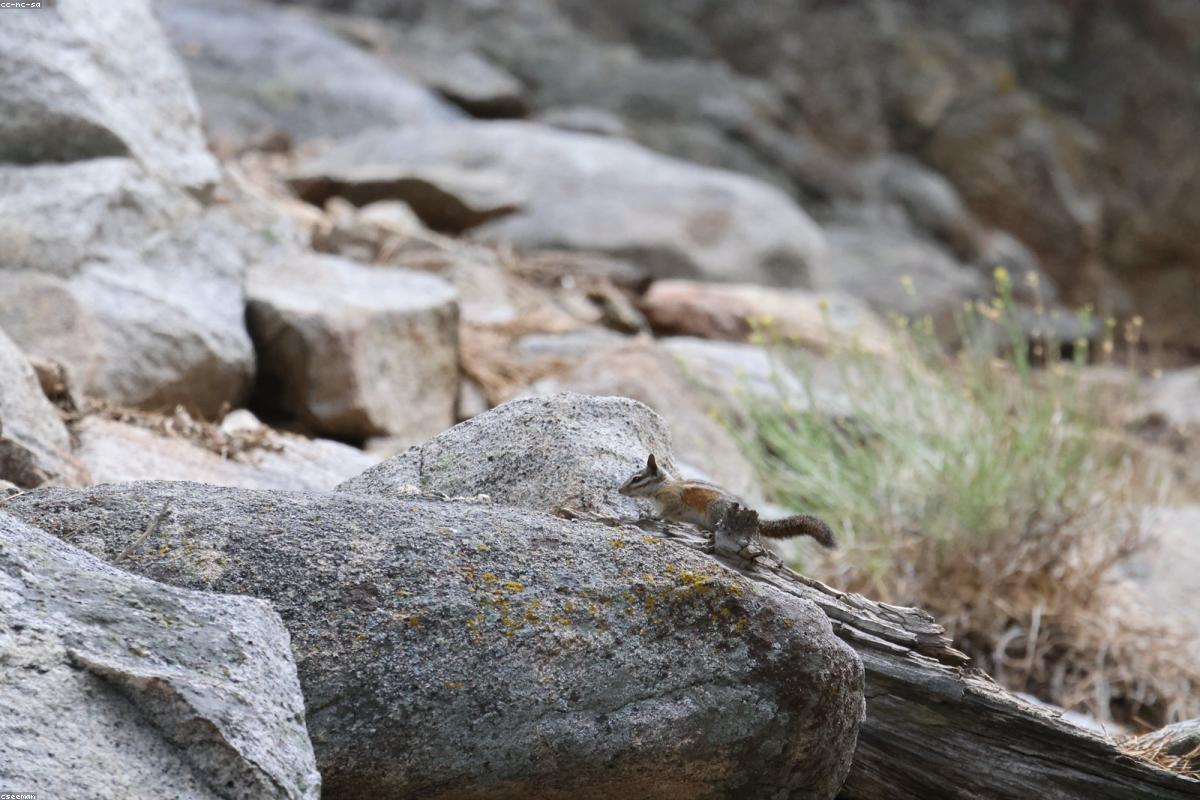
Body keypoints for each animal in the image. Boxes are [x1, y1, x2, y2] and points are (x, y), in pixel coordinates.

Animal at [618, 454, 835, 551]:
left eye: (636, 479)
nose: (619, 490)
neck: (662, 486)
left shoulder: (673, 500)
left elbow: (665, 513)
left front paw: (651, 515)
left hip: (715, 510)